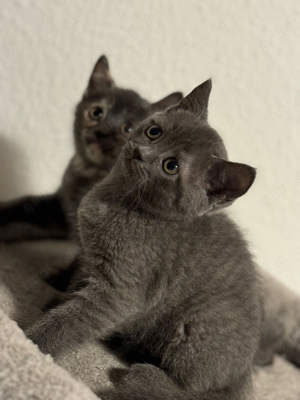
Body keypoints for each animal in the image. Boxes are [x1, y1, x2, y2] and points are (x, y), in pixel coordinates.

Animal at [27, 79, 264, 400]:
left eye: (170, 166)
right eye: (154, 132)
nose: (140, 152)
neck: (119, 200)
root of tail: (244, 373)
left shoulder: (121, 291)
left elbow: (74, 322)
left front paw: (32, 340)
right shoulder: (89, 258)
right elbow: (76, 286)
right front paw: (59, 300)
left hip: (201, 323)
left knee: (195, 391)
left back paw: (141, 379)